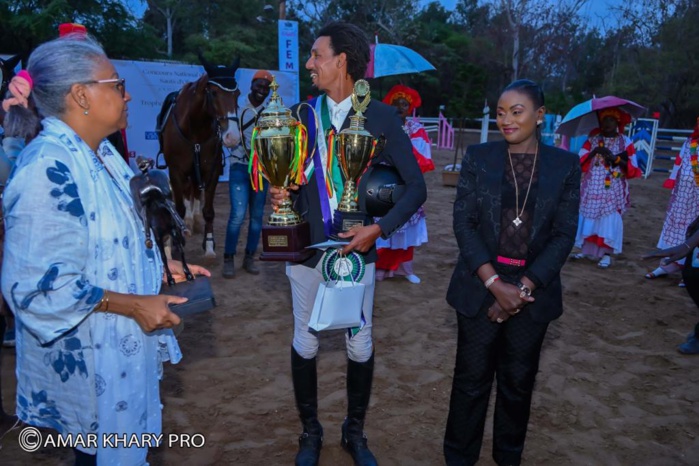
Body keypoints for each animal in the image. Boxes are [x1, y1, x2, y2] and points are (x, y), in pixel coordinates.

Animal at [159, 57, 243, 258]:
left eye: (237, 93)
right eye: (213, 92)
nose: (232, 136)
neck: (195, 129)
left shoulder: (211, 171)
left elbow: (209, 211)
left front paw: (210, 247)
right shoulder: (176, 172)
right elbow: (179, 208)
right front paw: (177, 244)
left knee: (196, 192)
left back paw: (195, 220)